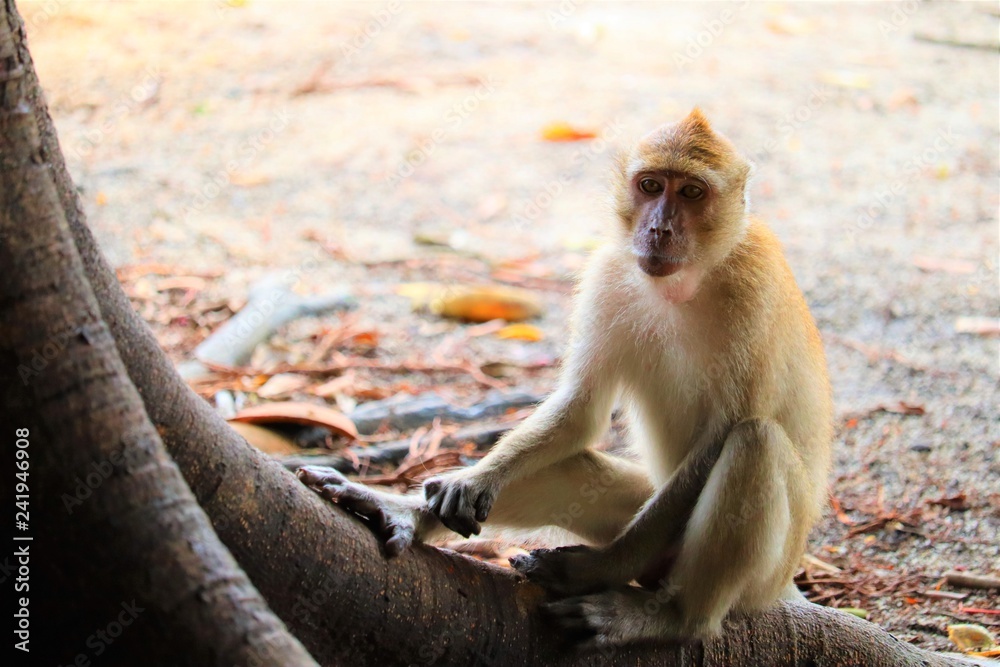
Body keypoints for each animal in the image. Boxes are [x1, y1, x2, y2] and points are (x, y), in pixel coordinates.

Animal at [298, 108, 833, 647]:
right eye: (651, 185)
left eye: (691, 193)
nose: (659, 228)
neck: (686, 282)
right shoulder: (609, 275)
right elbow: (580, 410)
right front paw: (472, 480)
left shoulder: (753, 290)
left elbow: (721, 435)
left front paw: (600, 569)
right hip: (643, 506)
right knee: (575, 467)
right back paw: (401, 511)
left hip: (762, 576)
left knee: (754, 443)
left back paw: (669, 615)